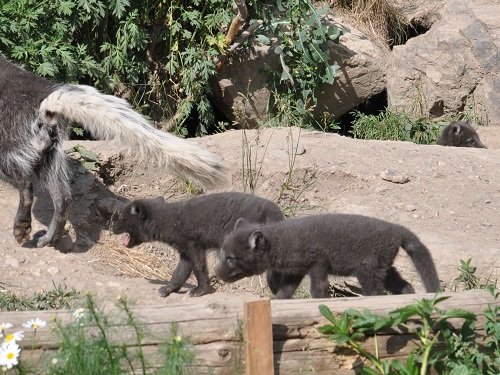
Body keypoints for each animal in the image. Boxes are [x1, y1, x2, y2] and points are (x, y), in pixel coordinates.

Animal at [0, 55, 227, 250]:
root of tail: (46, 97)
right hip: (50, 153)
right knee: (63, 198)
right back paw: (48, 238)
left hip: (9, 143)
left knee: (26, 184)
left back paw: (21, 228)